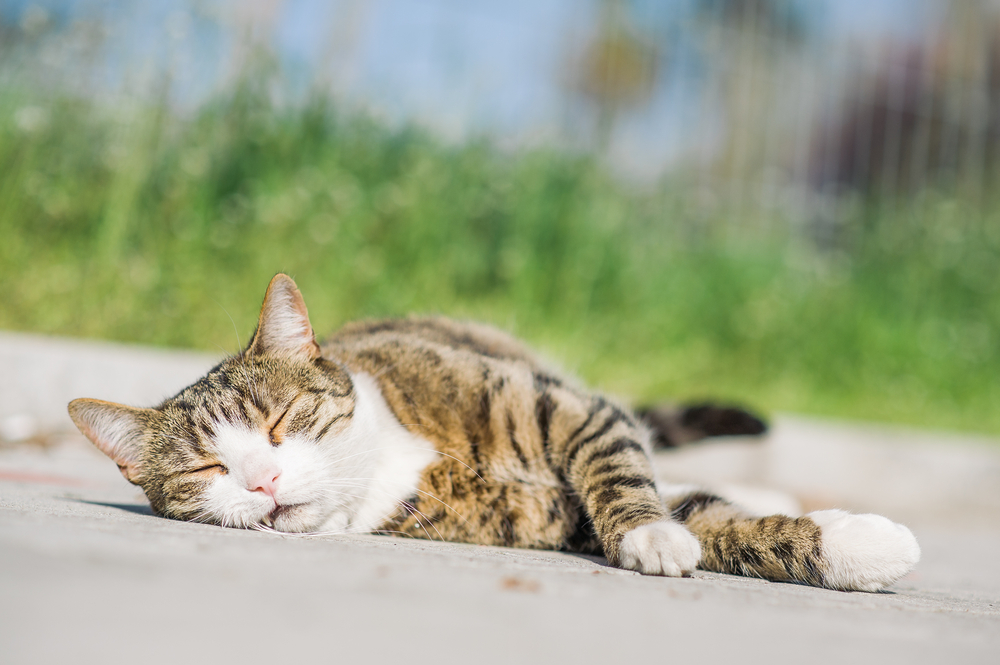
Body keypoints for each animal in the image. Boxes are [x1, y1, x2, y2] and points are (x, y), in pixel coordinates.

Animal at [66, 274, 916, 592]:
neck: (392, 460)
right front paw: (855, 544)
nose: (264, 481)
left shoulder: (572, 411)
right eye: (206, 470)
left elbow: (623, 466)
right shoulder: (557, 521)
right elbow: (717, 523)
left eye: (280, 420)